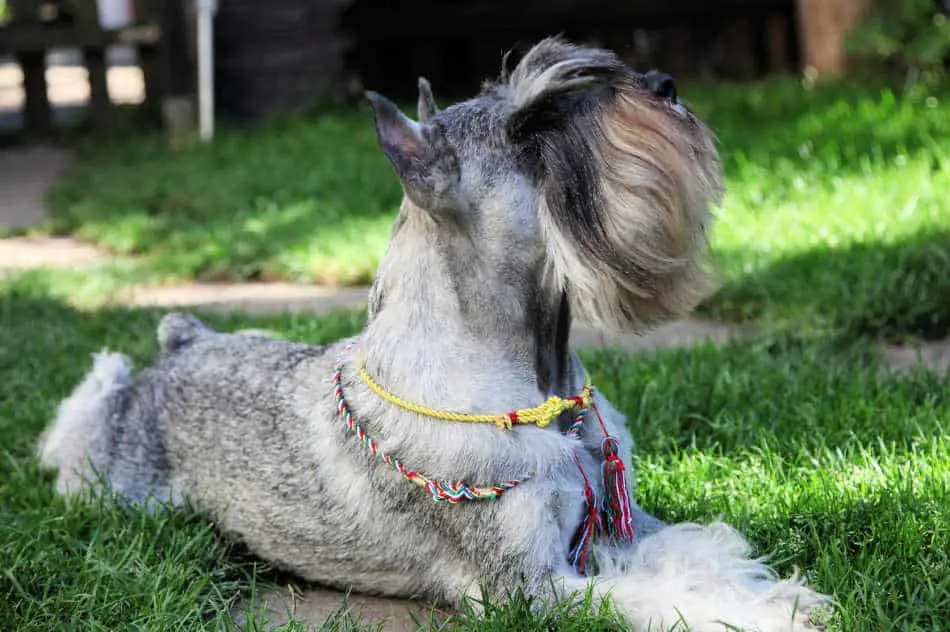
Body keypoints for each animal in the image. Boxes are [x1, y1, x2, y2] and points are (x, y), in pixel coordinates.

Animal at [39, 38, 824, 632]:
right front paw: (763, 616)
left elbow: (696, 550)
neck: (539, 387)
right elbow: (656, 599)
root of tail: (182, 344)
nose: (666, 85)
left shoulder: (615, 529)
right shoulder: (529, 588)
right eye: (532, 128)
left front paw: (780, 595)